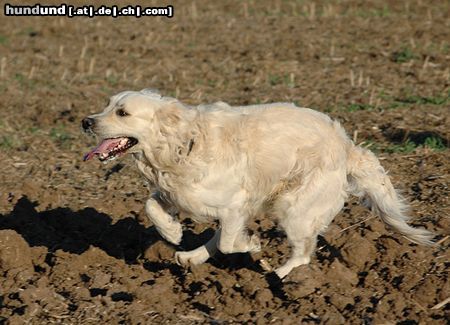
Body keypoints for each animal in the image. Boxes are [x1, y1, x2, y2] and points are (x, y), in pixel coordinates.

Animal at [82, 88, 434, 276]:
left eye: (123, 113)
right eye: (107, 105)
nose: (86, 121)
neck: (183, 142)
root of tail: (347, 147)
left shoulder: (236, 203)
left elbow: (229, 241)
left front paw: (252, 246)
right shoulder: (184, 194)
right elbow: (151, 204)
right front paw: (172, 232)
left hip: (294, 207)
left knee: (303, 252)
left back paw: (278, 276)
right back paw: (191, 256)